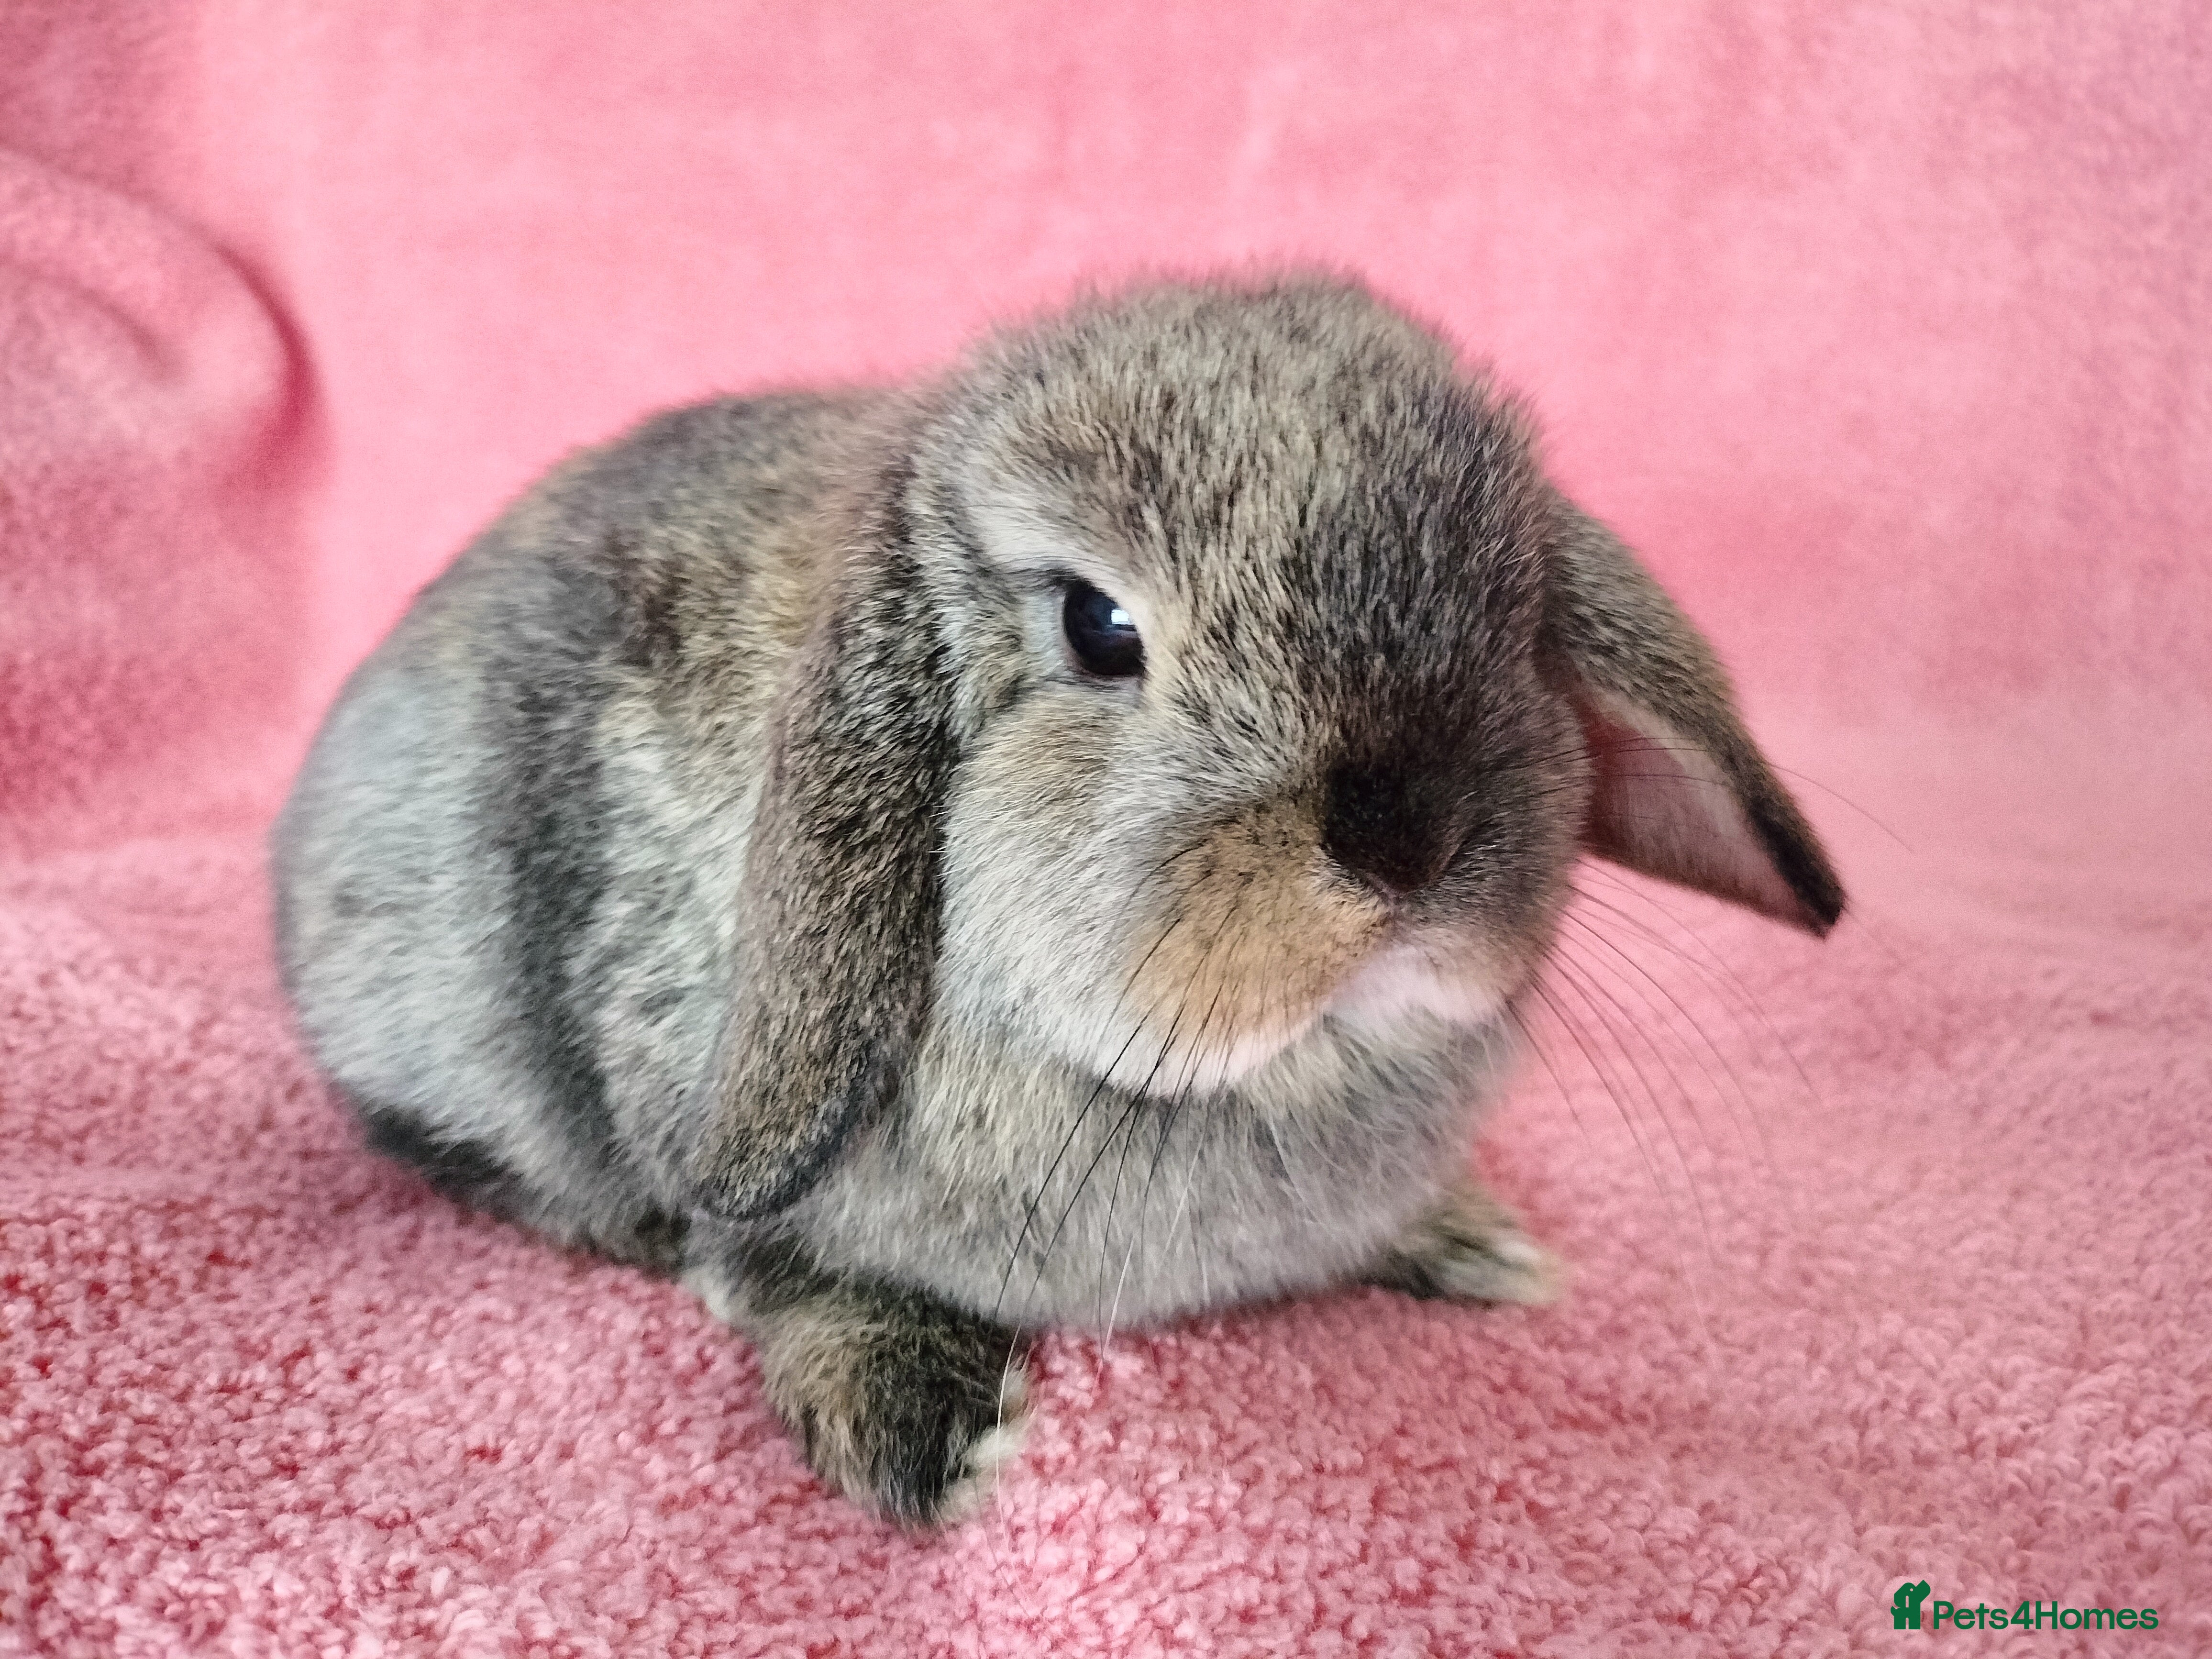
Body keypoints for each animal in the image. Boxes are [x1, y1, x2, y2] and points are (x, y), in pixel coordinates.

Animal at [272, 274, 1843, 1527]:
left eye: (1512, 624)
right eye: (1098, 626)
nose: (1408, 839)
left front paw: (1466, 1241)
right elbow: (778, 1263)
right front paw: (922, 1433)